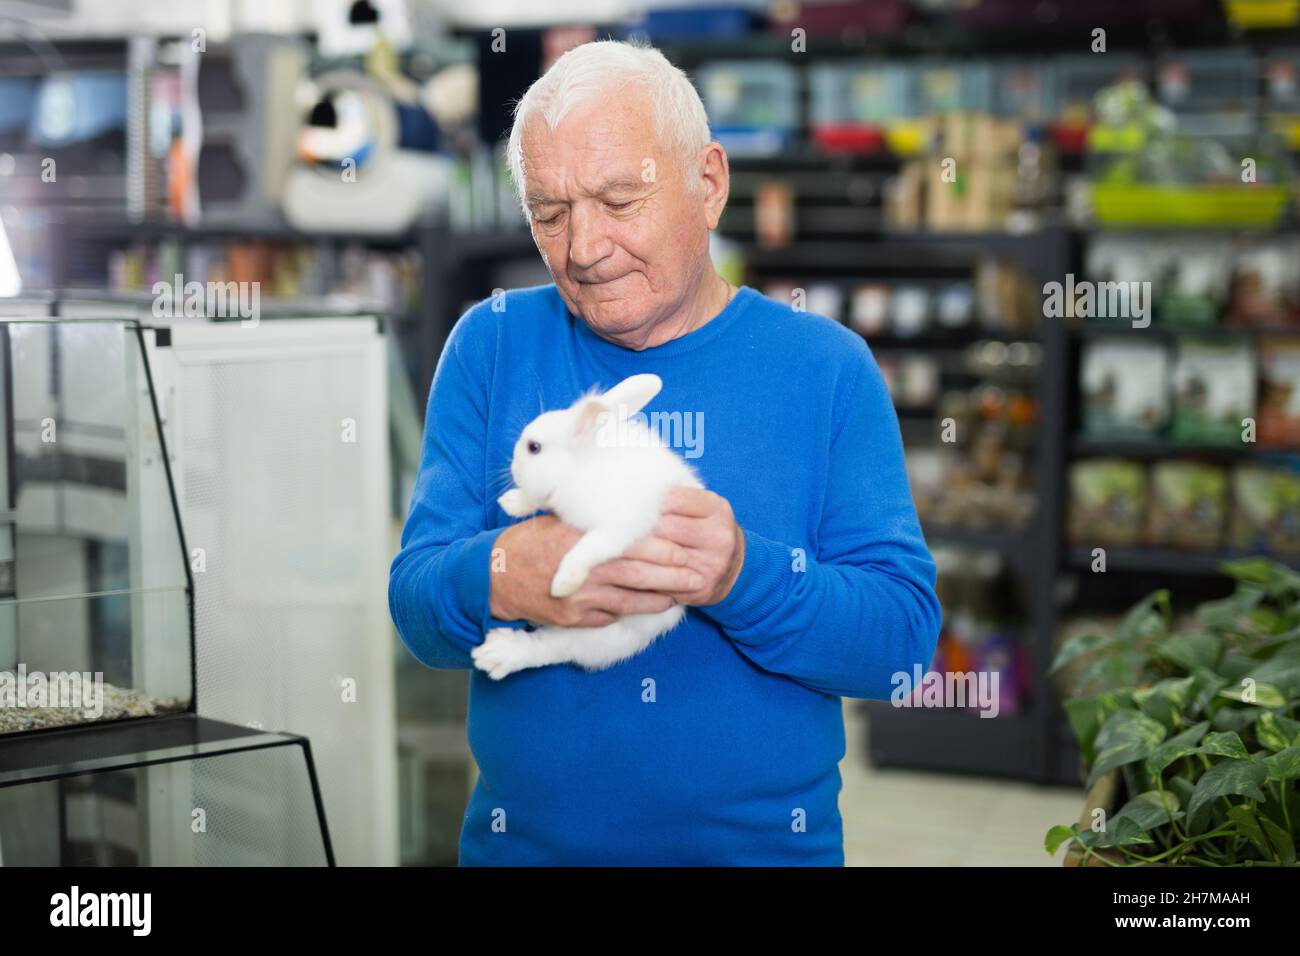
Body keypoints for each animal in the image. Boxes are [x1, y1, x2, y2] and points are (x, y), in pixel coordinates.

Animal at [471, 373, 703, 680]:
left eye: (534, 448)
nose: (513, 468)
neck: (578, 470)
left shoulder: (618, 529)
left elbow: (586, 549)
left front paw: (563, 583)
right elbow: (536, 498)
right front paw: (512, 502)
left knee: (551, 647)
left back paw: (498, 654)